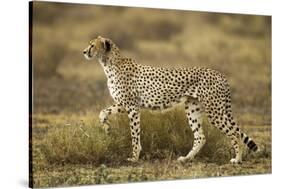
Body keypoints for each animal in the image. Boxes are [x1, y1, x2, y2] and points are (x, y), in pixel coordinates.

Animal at [82, 35, 258, 164]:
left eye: (92, 45)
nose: (83, 52)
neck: (109, 63)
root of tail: (220, 74)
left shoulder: (132, 107)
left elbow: (134, 133)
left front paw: (134, 157)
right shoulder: (124, 104)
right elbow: (102, 111)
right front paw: (106, 127)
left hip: (214, 111)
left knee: (234, 133)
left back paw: (237, 159)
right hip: (192, 108)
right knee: (200, 137)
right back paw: (186, 158)